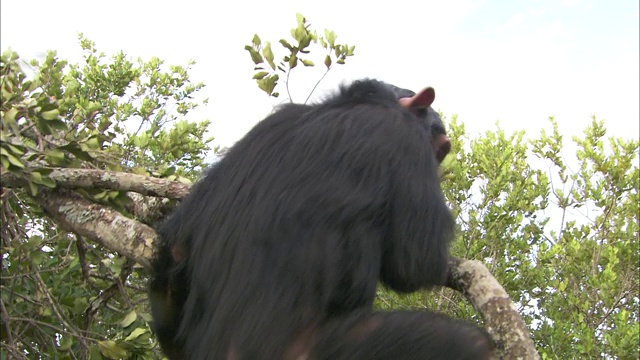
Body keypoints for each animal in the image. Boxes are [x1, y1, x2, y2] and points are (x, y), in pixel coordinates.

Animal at [149, 79, 490, 360]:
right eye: (440, 149)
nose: (440, 167)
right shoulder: (403, 139)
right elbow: (415, 262)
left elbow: (178, 241)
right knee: (465, 344)